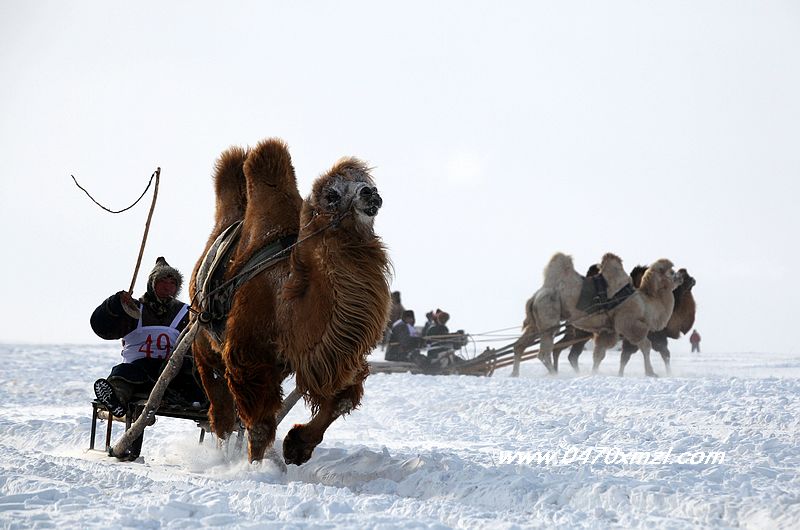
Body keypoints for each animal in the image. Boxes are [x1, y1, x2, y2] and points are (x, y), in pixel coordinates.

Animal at [189, 139, 390, 462]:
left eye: (366, 182)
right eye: (331, 195)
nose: (370, 193)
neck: (285, 306)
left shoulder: (328, 358)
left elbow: (343, 397)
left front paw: (297, 446)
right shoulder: (248, 355)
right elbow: (259, 425)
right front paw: (257, 467)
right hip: (201, 340)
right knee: (220, 413)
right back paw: (220, 456)